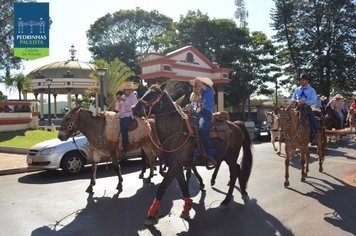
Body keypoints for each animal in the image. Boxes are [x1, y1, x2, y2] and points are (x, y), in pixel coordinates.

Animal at [131, 83, 253, 225]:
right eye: (146, 91)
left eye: (154, 93)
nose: (134, 108)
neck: (176, 132)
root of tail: (236, 124)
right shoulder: (177, 166)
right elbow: (183, 186)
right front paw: (187, 207)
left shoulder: (177, 165)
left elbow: (163, 186)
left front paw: (151, 215)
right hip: (227, 157)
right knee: (237, 170)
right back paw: (242, 192)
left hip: (231, 156)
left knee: (234, 173)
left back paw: (226, 201)